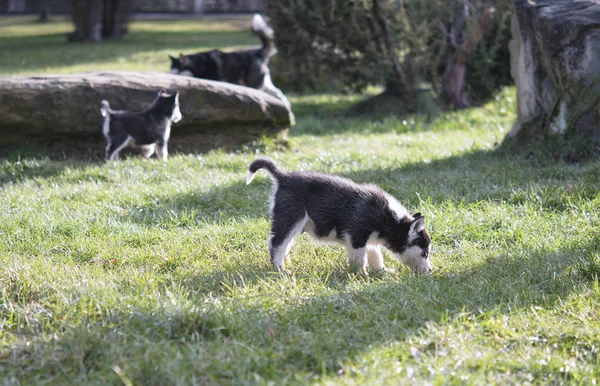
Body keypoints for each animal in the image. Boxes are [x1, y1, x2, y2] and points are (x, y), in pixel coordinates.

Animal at [246, 157, 434, 274]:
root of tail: (283, 177)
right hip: (291, 218)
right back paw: (280, 269)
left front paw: (382, 271)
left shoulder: (369, 240)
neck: (390, 219)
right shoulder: (356, 236)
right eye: (425, 253)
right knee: (276, 244)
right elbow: (360, 259)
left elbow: (375, 255)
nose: (431, 270)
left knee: (284, 244)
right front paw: (361, 275)